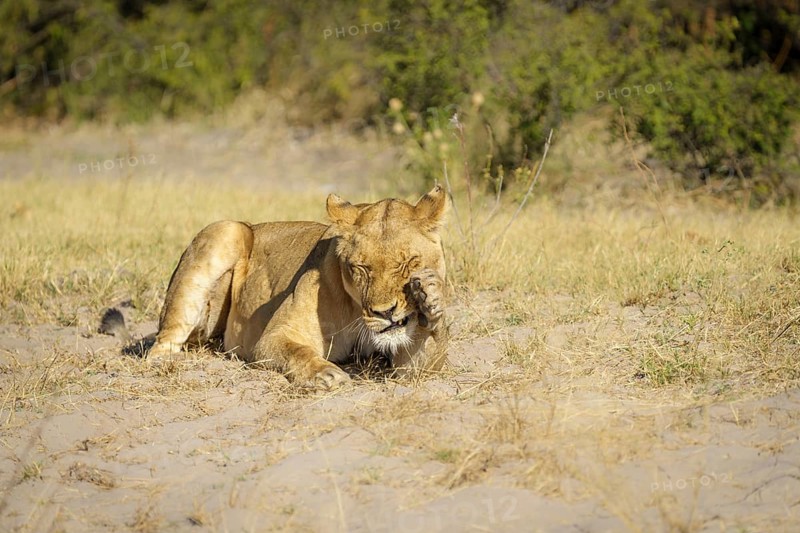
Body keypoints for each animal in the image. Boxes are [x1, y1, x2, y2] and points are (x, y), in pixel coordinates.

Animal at [135, 186, 449, 389]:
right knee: (161, 345)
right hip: (227, 229)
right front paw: (326, 375)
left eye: (408, 263)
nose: (384, 313)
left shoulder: (411, 366)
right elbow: (297, 351)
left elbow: (420, 359)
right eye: (361, 268)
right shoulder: (273, 337)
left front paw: (430, 299)